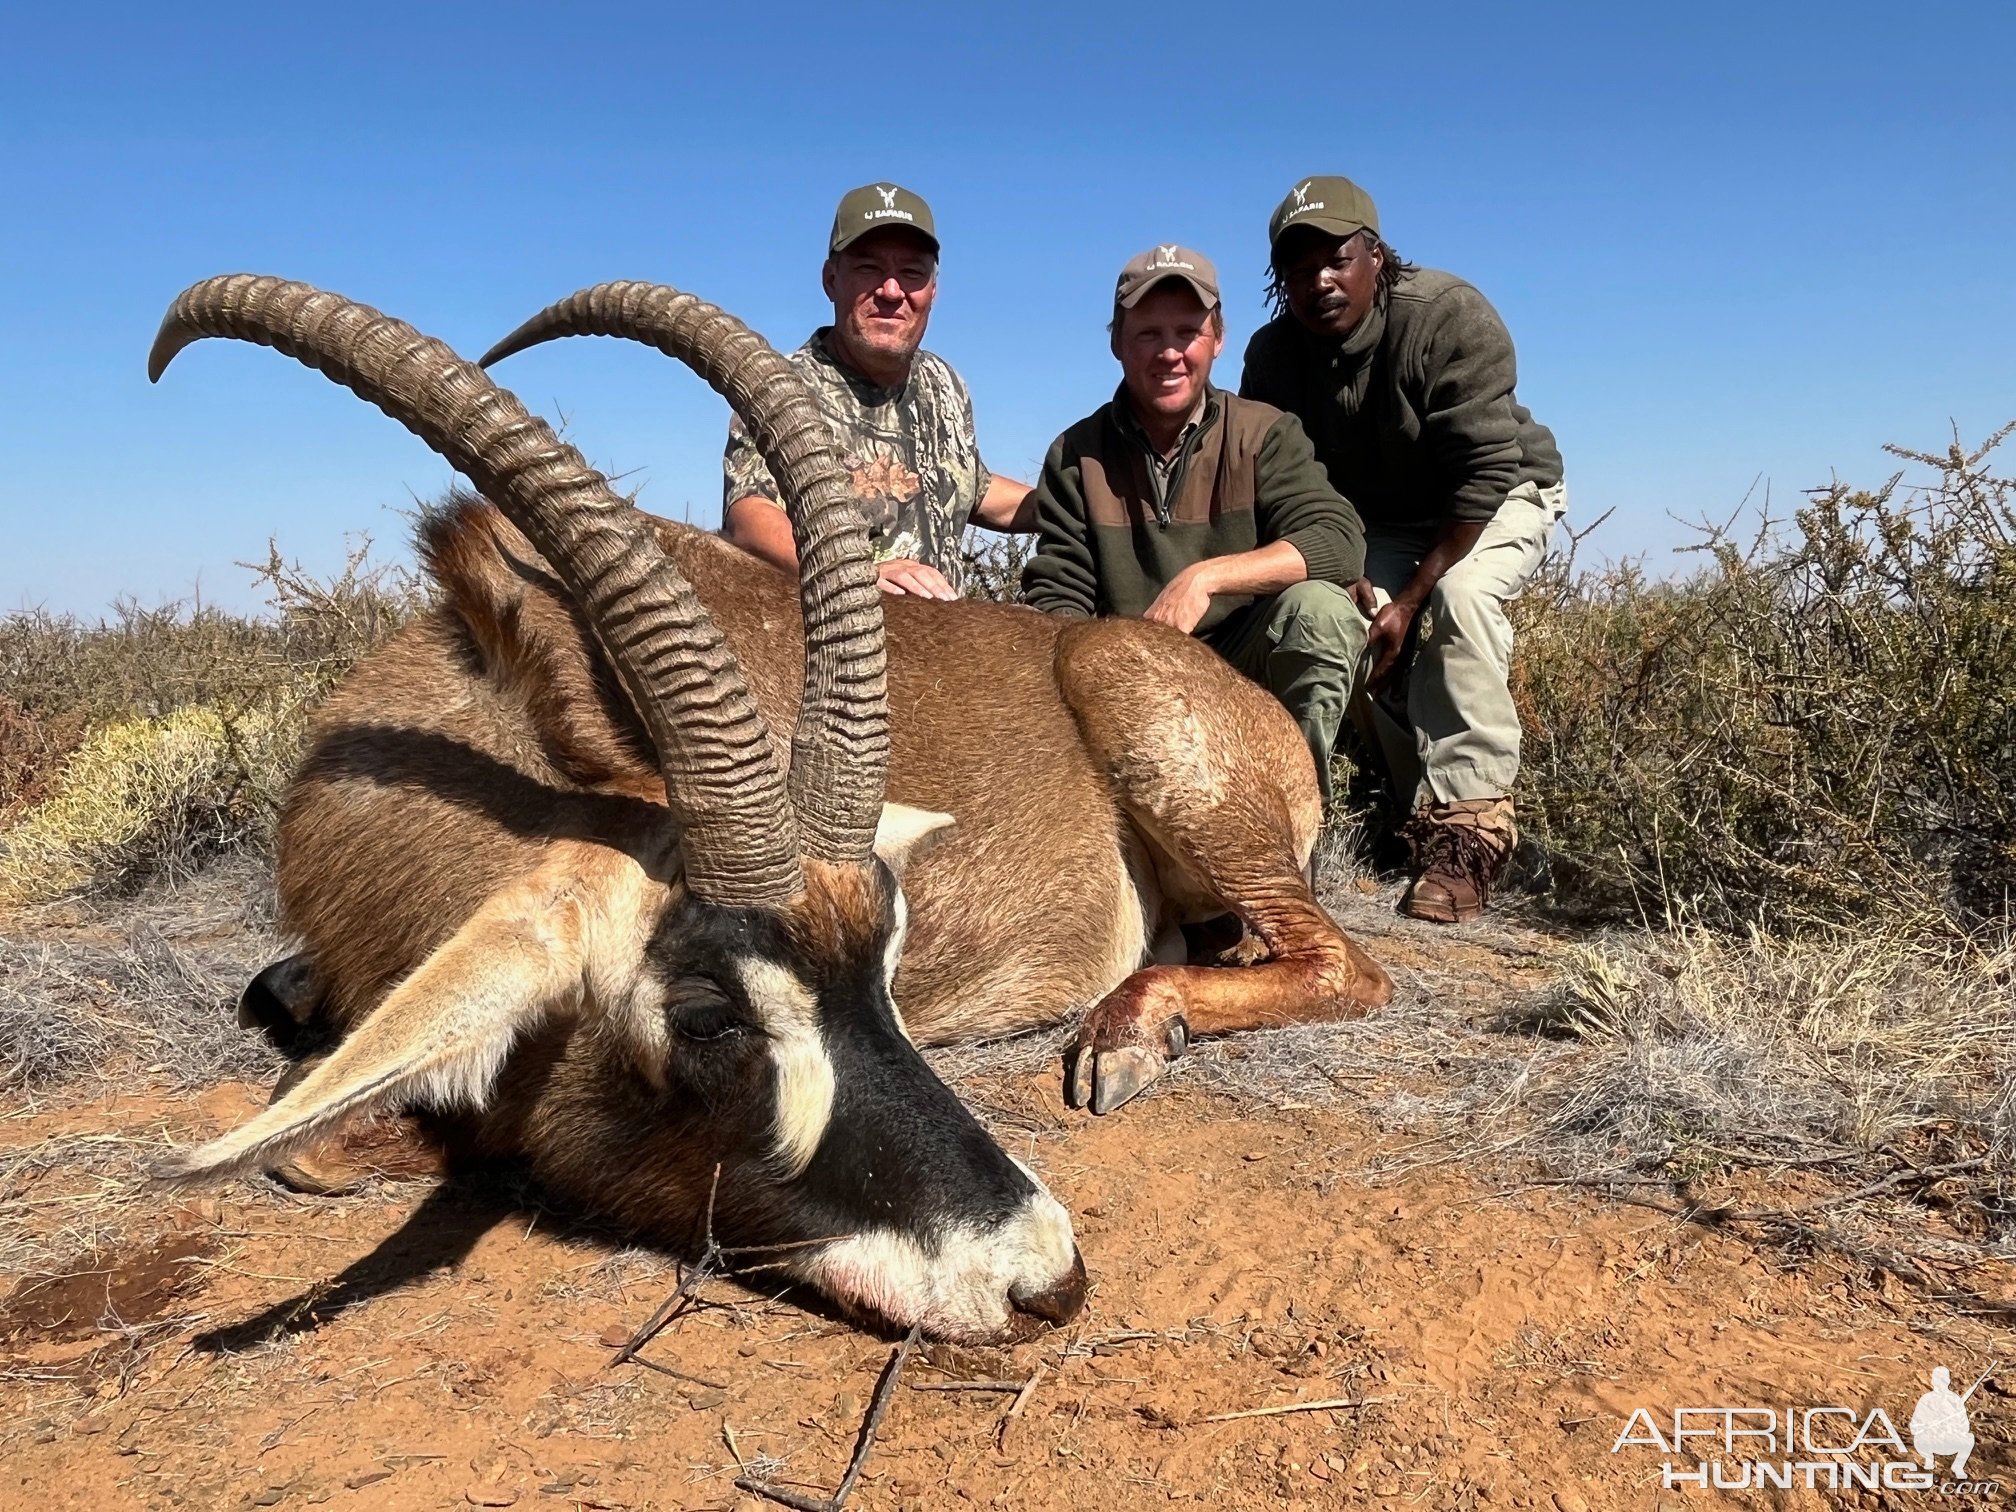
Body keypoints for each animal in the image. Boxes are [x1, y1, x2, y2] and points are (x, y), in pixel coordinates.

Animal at [153, 278, 1387, 1346]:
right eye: (705, 1016)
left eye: (888, 961)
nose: (1044, 1278)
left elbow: (319, 1138)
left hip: (1142, 718)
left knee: (1347, 966)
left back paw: (1132, 1031)